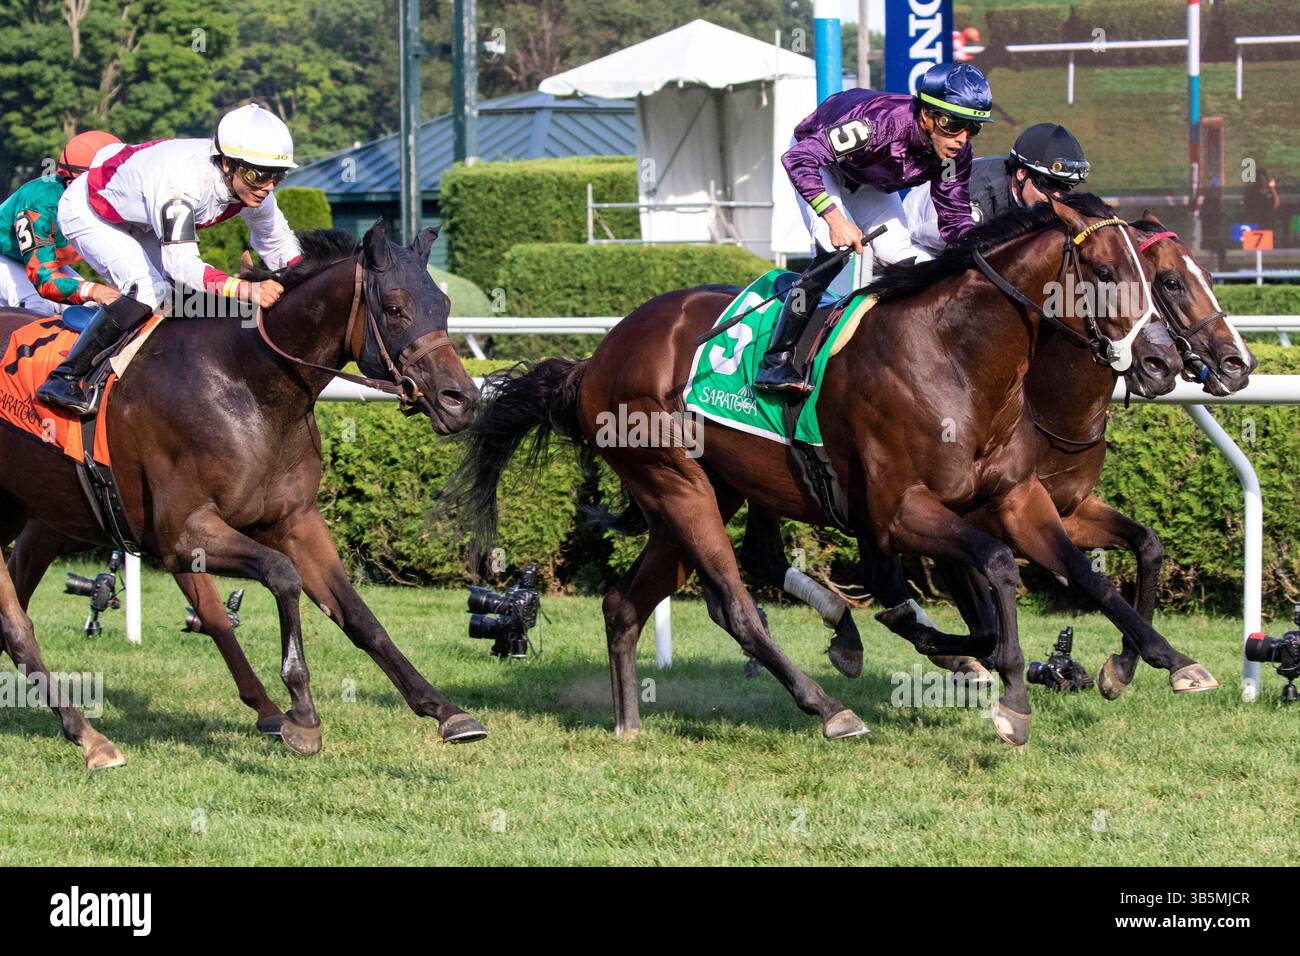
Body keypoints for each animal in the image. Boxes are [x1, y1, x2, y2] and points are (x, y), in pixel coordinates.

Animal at [0, 220, 487, 769]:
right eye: (395, 307)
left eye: (443, 305)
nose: (462, 400)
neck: (247, 382)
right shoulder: (184, 534)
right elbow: (282, 577)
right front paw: (302, 713)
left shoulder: (296, 521)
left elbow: (359, 616)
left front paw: (445, 710)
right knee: (17, 622)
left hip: (38, 517)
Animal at [451, 193, 1198, 747]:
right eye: (1108, 273)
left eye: (1153, 277)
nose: (1163, 360)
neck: (956, 357)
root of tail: (596, 358)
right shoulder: (899, 510)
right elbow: (992, 570)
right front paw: (1010, 696)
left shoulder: (1016, 499)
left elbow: (1084, 570)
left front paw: (1163, 662)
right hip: (676, 484)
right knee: (734, 605)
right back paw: (831, 707)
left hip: (702, 494)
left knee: (625, 603)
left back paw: (630, 722)